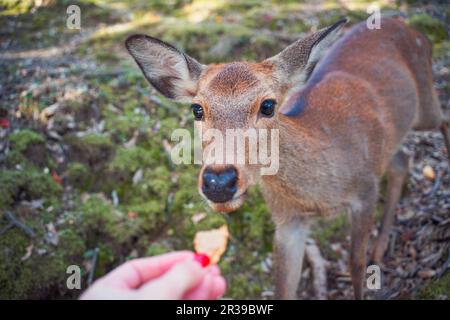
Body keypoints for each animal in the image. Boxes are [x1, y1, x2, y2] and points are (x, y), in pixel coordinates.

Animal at [125, 16, 450, 298]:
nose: (219, 181)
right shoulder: (287, 221)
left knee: (442, 120)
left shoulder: (365, 191)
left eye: (268, 105)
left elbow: (356, 266)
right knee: (402, 160)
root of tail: (413, 29)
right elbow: (283, 285)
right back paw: (381, 246)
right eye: (197, 109)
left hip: (424, 104)